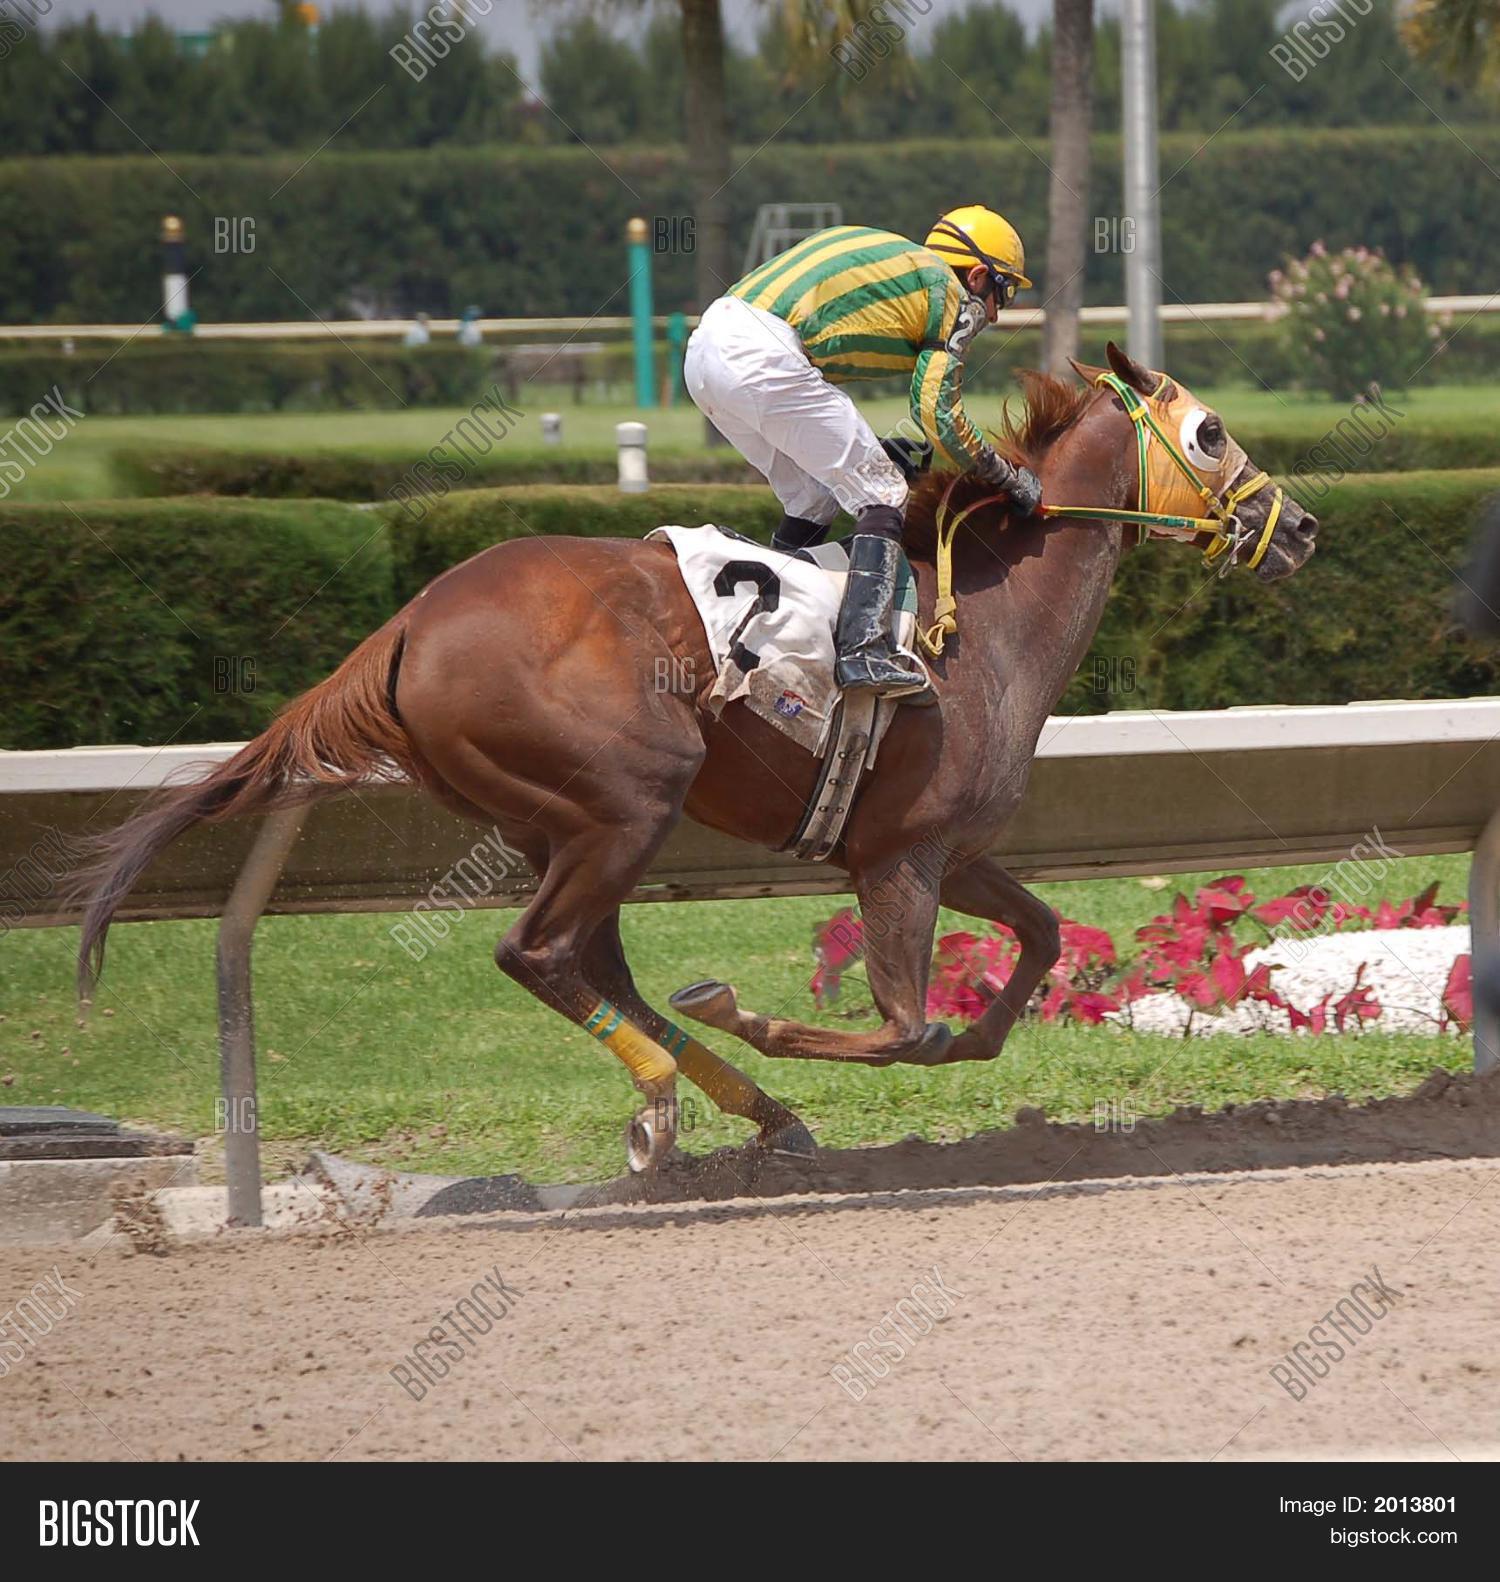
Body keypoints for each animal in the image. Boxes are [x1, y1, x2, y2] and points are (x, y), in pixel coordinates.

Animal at [74, 344, 1318, 1173]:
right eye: (1210, 432)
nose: (1300, 526)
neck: (986, 619)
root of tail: (407, 626)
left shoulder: (950, 851)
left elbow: (1036, 947)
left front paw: (966, 1031)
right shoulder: (900, 858)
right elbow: (905, 1028)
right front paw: (742, 1009)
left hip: (555, 820)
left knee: (592, 962)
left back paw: (746, 1105)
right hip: (628, 799)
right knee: (536, 951)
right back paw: (670, 1093)